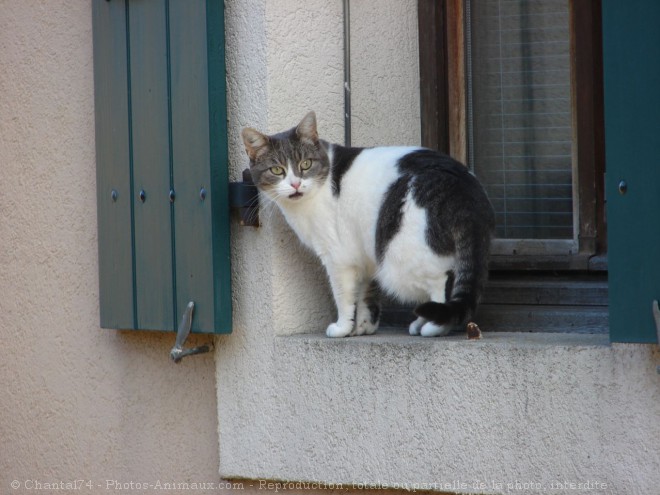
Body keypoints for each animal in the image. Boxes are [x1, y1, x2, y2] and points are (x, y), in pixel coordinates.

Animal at [242, 111, 496, 338]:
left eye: (305, 164)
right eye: (277, 170)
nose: (295, 184)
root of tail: (466, 188)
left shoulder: (337, 257)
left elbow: (343, 296)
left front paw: (342, 328)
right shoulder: (363, 255)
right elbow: (364, 293)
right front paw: (363, 326)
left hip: (400, 253)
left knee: (440, 281)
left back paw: (433, 327)